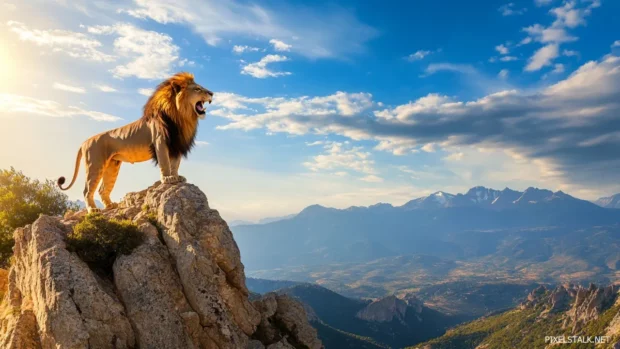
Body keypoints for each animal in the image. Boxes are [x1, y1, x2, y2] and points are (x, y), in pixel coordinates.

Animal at [58, 72, 213, 212]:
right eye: (197, 89)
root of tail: (84, 142)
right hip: (95, 164)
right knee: (87, 190)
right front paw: (168, 179)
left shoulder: (177, 145)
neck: (182, 117)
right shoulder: (160, 142)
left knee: (102, 189)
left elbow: (175, 164)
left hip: (112, 165)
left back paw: (110, 206)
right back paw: (93, 209)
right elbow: (165, 163)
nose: (212, 93)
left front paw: (176, 177)